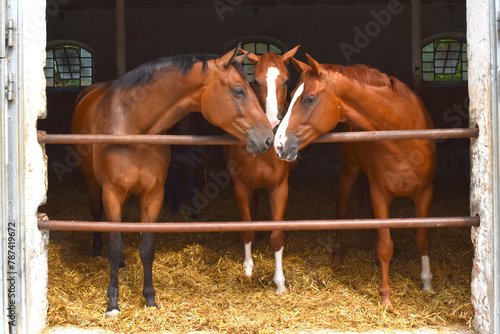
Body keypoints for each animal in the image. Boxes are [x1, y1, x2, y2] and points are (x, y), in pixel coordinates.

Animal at [70, 45, 274, 318]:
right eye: (239, 91)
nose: (268, 138)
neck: (132, 126)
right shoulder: (112, 193)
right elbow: (114, 248)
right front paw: (113, 303)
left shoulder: (153, 195)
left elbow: (147, 249)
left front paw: (150, 298)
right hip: (94, 187)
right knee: (97, 216)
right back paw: (96, 249)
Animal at [225, 45, 298, 294]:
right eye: (255, 82)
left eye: (286, 81)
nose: (273, 125)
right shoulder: (241, 186)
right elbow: (247, 228)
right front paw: (248, 268)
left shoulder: (280, 187)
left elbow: (276, 235)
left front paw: (280, 282)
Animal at [276, 54, 436, 310]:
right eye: (291, 96)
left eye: (309, 99)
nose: (279, 145)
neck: (401, 132)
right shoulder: (380, 193)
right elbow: (386, 246)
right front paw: (386, 298)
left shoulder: (424, 194)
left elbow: (422, 239)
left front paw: (427, 283)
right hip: (349, 172)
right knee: (341, 212)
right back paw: (337, 257)